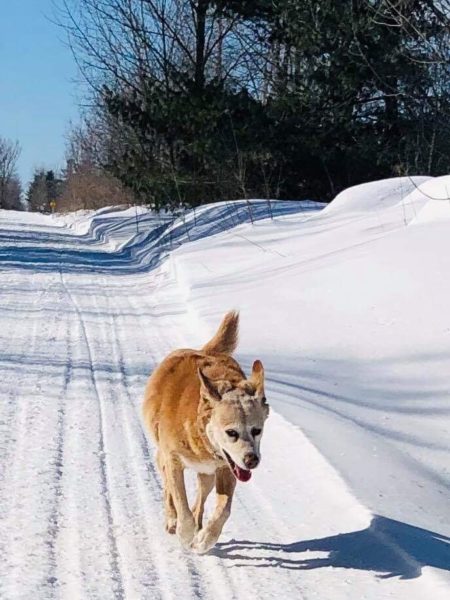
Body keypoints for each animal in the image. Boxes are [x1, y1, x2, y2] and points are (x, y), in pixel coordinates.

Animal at [142, 312, 268, 556]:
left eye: (257, 430)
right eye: (231, 432)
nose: (252, 460)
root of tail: (204, 350)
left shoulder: (227, 468)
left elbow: (223, 509)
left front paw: (204, 539)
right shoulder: (173, 460)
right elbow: (179, 499)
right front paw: (185, 532)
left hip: (208, 474)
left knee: (201, 497)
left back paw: (199, 524)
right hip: (164, 457)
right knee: (169, 489)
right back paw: (173, 521)